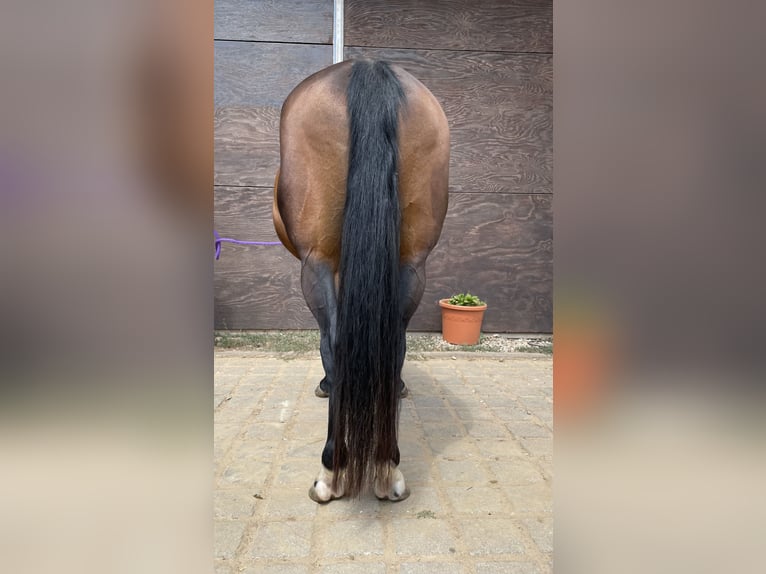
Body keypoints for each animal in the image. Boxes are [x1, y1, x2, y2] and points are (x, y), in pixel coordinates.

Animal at [272, 59, 449, 502]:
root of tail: (368, 68)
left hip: (317, 263)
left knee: (337, 342)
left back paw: (331, 470)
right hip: (411, 264)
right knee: (393, 342)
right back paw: (388, 467)